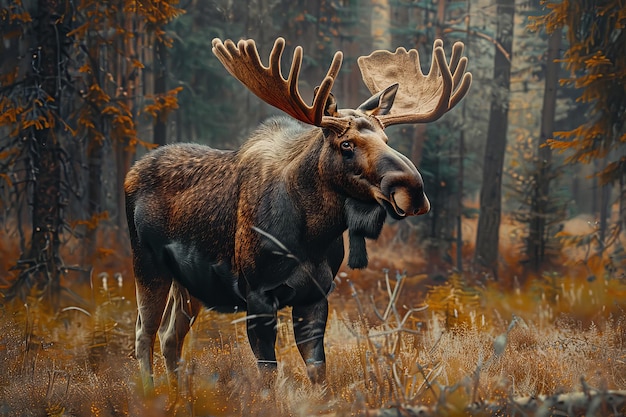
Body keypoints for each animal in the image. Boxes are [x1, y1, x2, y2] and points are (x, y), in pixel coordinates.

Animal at [124, 35, 470, 390]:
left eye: (386, 138)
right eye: (346, 144)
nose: (412, 188)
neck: (311, 237)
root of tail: (131, 173)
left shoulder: (315, 294)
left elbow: (318, 369)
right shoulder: (258, 294)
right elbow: (267, 373)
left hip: (188, 283)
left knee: (170, 336)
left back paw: (180, 394)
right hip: (147, 264)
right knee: (144, 333)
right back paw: (151, 393)